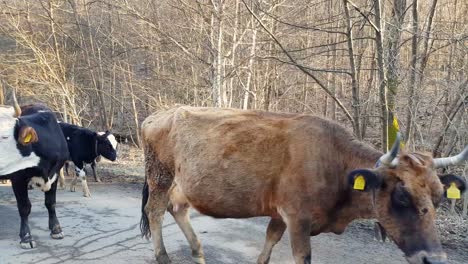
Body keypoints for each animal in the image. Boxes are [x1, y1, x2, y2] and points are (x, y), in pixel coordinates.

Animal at [0, 102, 67, 249]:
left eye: (4, 137)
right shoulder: (18, 178)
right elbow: (24, 207)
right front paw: (26, 237)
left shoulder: (55, 174)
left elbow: (51, 203)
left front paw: (56, 229)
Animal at [140, 105, 468, 264]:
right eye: (401, 196)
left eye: (439, 197)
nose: (435, 260)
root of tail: (160, 112)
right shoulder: (298, 217)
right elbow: (302, 256)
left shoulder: (279, 212)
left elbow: (269, 243)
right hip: (160, 174)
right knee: (155, 210)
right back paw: (163, 256)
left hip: (183, 182)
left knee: (177, 207)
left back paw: (198, 253)